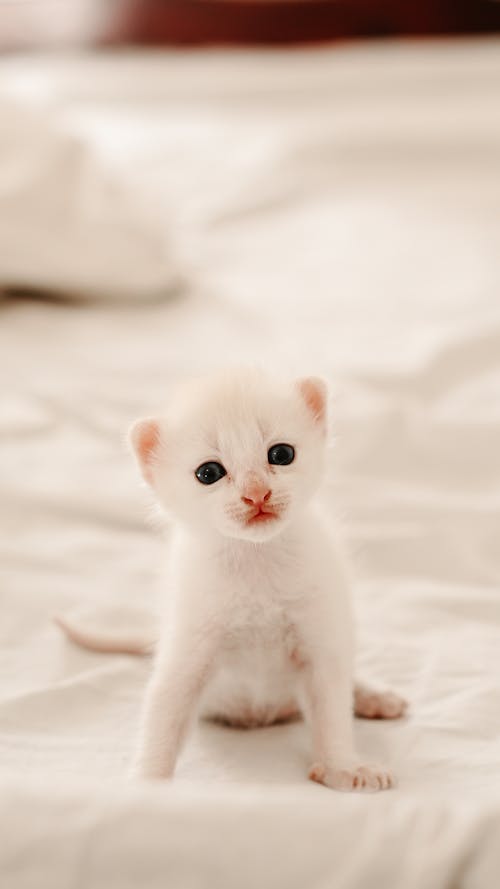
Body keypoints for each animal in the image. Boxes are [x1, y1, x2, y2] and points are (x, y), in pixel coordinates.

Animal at [57, 368, 406, 792]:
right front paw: (147, 783)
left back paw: (373, 697)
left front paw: (343, 768)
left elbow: (332, 709)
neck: (255, 560)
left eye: (281, 454)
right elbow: (164, 714)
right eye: (208, 473)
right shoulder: (188, 647)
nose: (257, 494)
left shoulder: (320, 635)